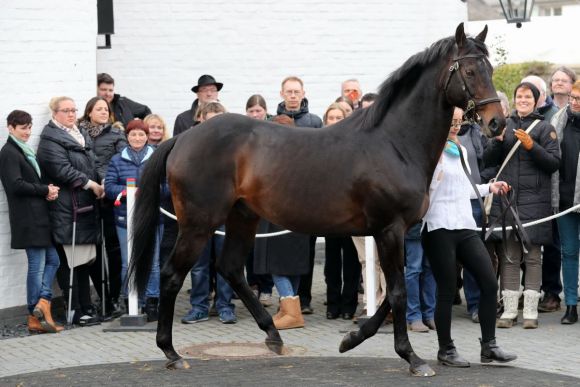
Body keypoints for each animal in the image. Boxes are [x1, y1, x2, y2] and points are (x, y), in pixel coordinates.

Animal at [129, 22, 506, 378]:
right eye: (469, 72)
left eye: (490, 69)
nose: (497, 124)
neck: (394, 143)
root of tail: (182, 139)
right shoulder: (389, 230)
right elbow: (398, 292)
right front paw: (412, 358)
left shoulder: (397, 233)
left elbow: (393, 293)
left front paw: (351, 339)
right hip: (199, 224)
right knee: (172, 274)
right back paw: (172, 353)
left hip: (242, 217)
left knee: (231, 268)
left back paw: (272, 335)